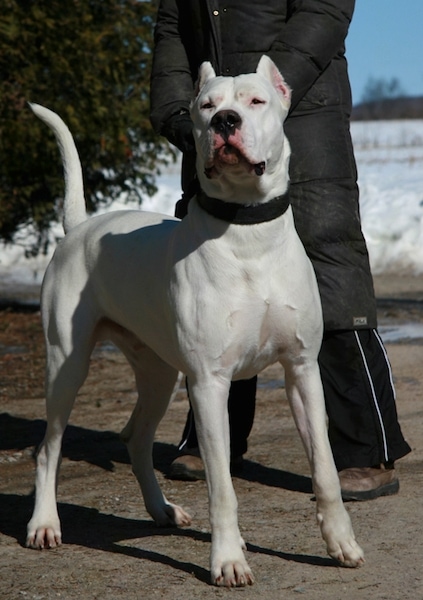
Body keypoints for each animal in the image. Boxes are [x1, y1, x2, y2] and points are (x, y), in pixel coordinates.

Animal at [26, 56, 364, 584]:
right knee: (49, 447)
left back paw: (161, 510)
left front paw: (340, 542)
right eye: (205, 105)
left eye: (255, 100)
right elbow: (221, 485)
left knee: (135, 437)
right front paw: (228, 560)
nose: (226, 121)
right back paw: (44, 524)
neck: (247, 230)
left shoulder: (302, 370)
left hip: (159, 371)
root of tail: (80, 227)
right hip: (67, 364)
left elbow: (325, 469)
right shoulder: (209, 383)